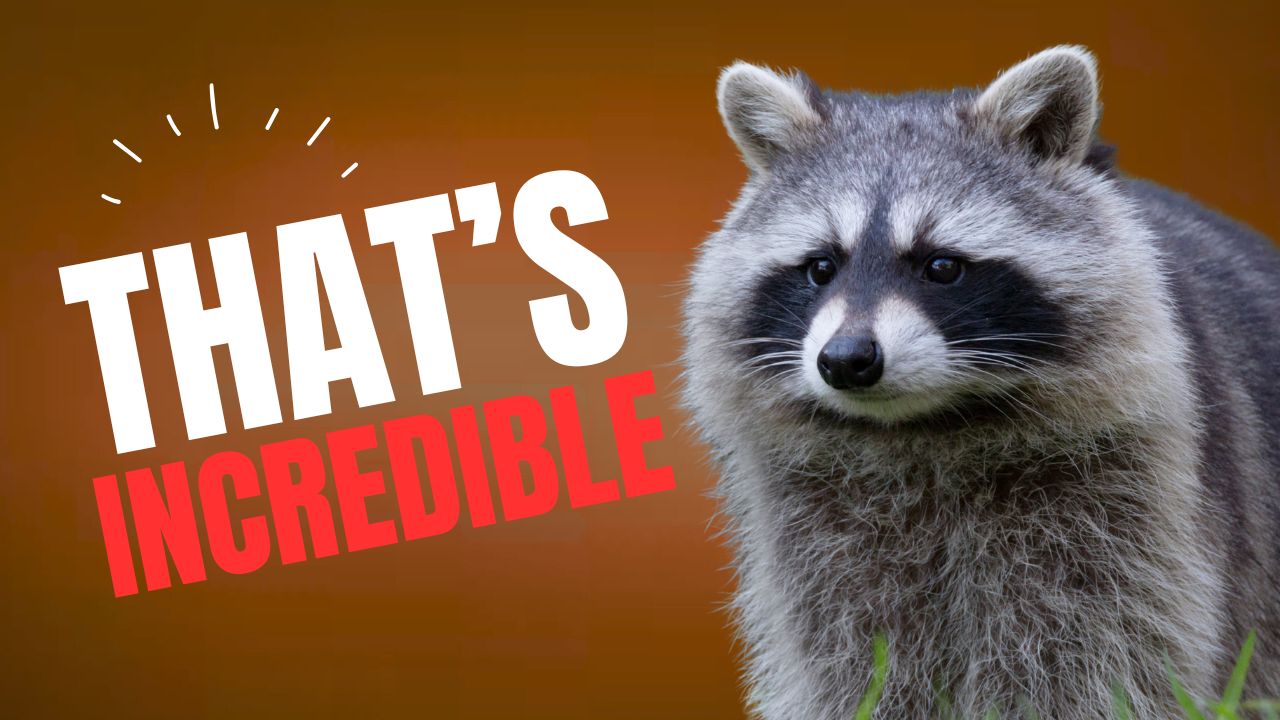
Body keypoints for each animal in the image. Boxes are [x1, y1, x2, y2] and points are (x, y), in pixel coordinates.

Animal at [681, 46, 1280, 719]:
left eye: (942, 266)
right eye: (821, 267)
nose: (847, 359)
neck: (923, 430)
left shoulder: (1124, 500)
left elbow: (1093, 654)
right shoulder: (820, 524)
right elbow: (853, 657)